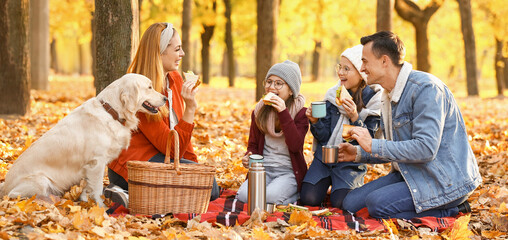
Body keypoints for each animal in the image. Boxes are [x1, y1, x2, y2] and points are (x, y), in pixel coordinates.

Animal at [0, 73, 167, 206]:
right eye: (149, 87)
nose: (165, 98)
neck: (111, 111)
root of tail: (5, 185)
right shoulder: (97, 162)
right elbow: (98, 189)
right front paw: (101, 207)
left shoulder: (90, 166)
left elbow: (88, 188)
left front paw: (86, 202)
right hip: (40, 180)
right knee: (16, 195)